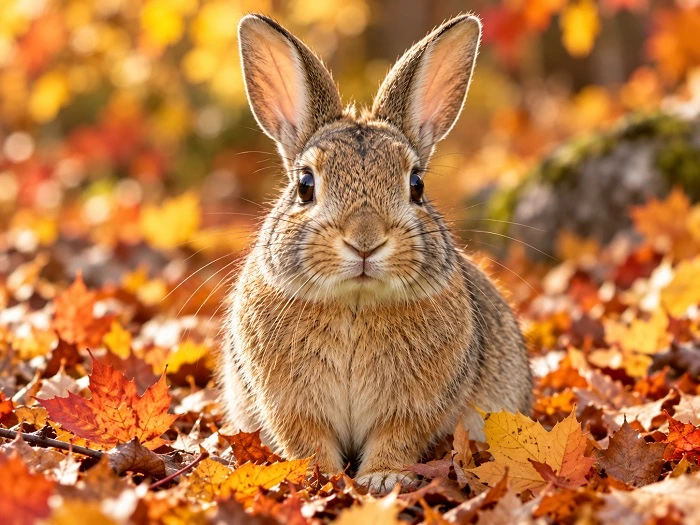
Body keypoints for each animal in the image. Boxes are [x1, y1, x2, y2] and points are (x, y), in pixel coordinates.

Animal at [217, 12, 533, 493]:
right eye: (305, 185)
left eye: (417, 184)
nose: (365, 239)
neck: (355, 301)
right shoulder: (289, 404)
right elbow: (308, 442)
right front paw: (322, 478)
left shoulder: (412, 407)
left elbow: (396, 437)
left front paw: (381, 479)